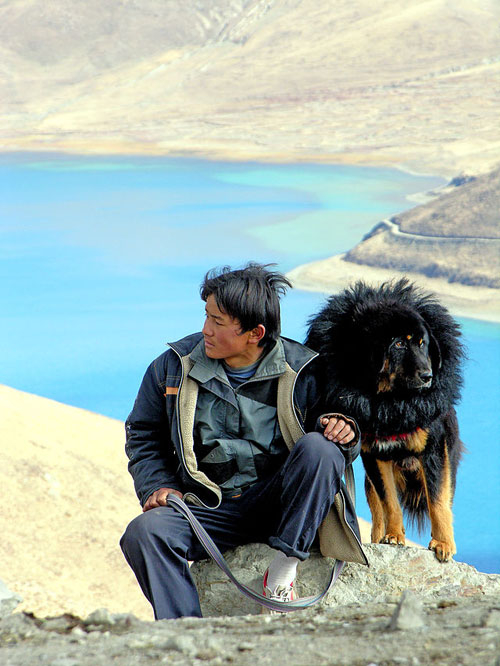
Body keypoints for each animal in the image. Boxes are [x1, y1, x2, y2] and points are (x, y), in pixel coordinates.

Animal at [304, 278, 464, 556]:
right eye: (399, 344)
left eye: (422, 344)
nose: (428, 376)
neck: (390, 405)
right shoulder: (375, 456)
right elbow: (389, 502)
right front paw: (393, 535)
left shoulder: (434, 451)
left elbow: (437, 501)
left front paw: (443, 543)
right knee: (377, 506)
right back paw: (378, 537)